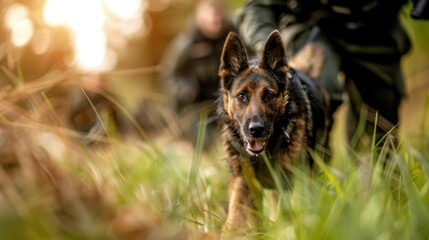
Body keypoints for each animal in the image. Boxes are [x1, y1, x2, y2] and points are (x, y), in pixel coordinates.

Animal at [217, 30, 328, 232]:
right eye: (241, 96)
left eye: (269, 95)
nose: (256, 130)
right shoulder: (243, 181)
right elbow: (235, 218)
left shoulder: (297, 180)